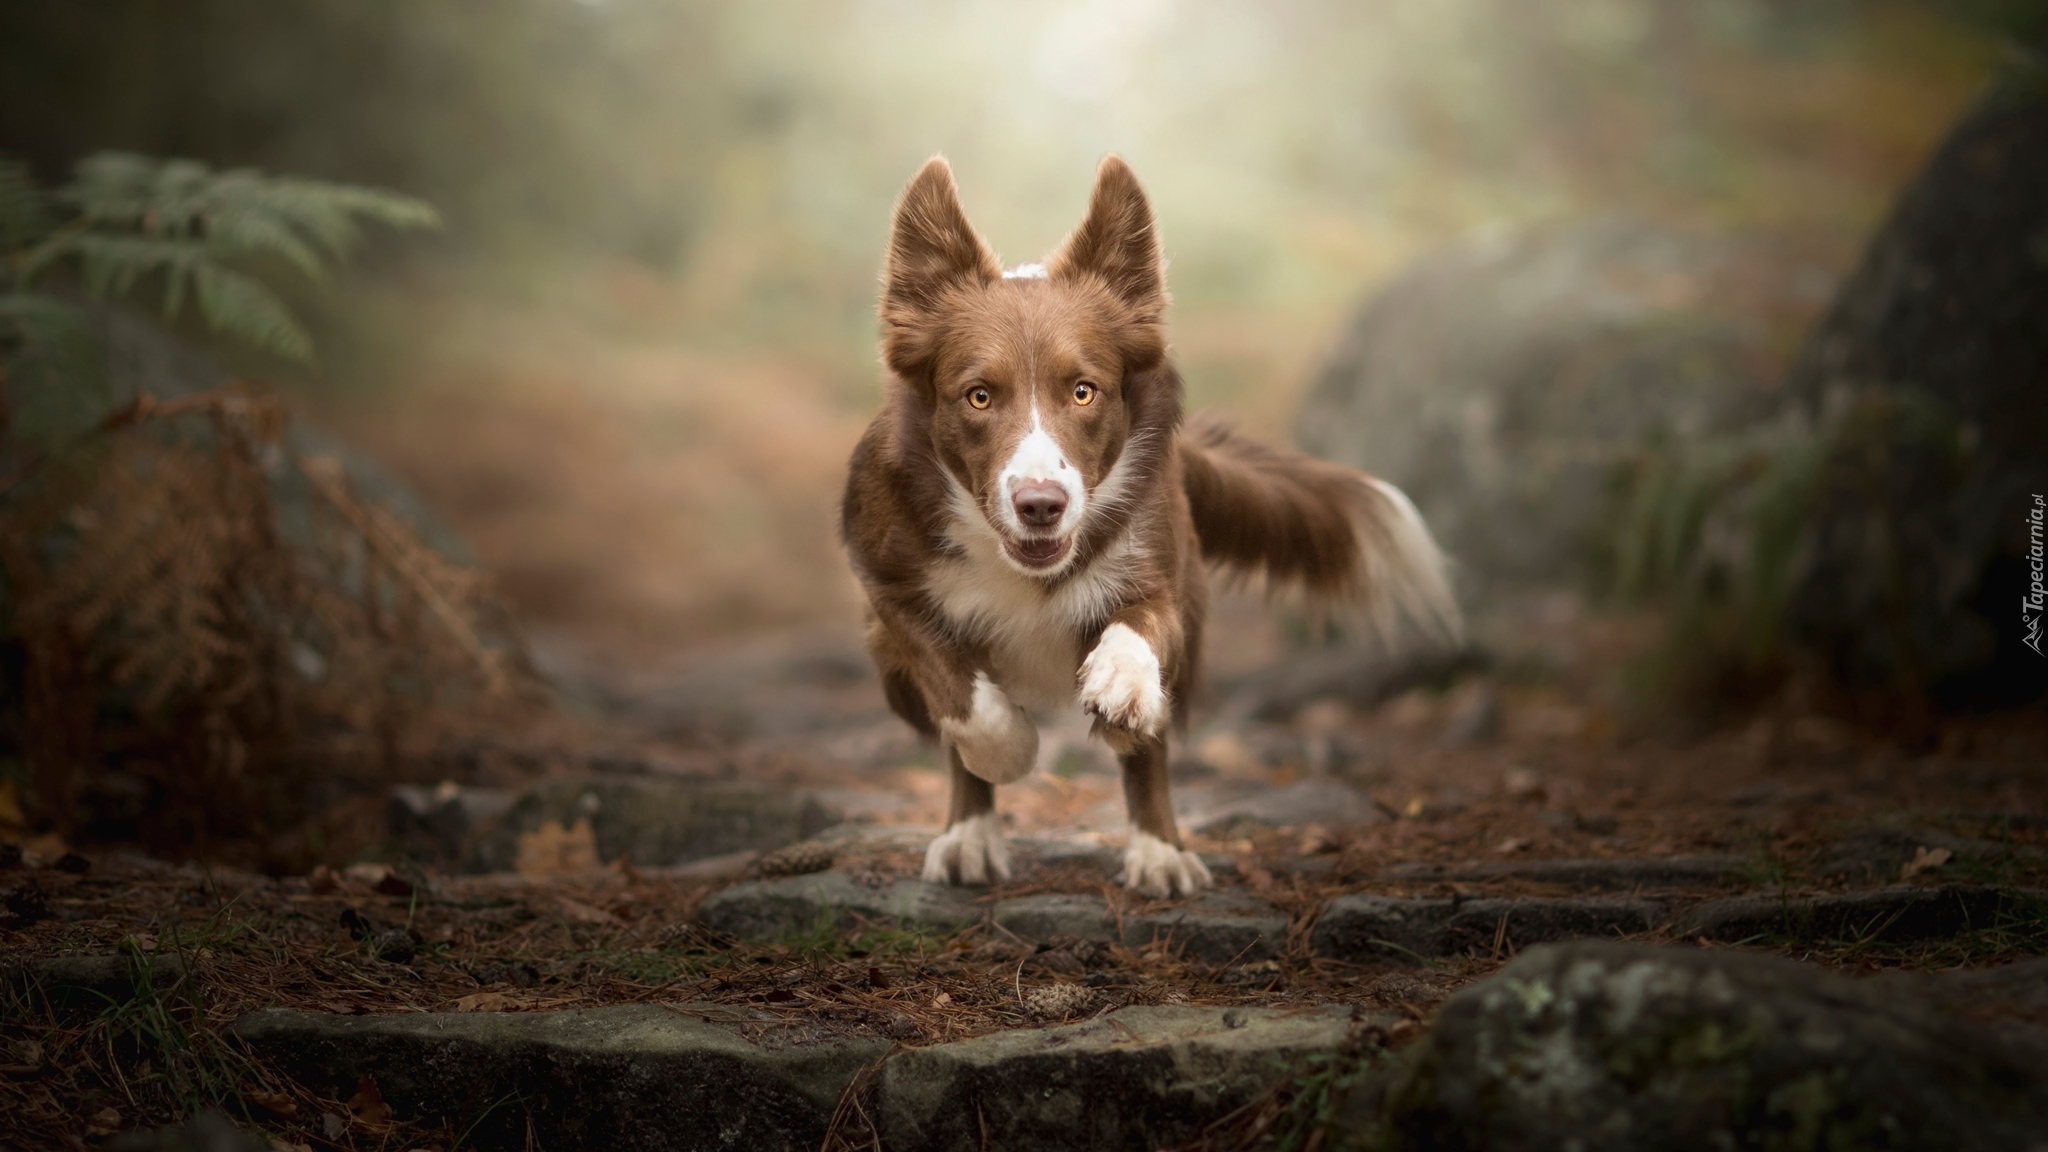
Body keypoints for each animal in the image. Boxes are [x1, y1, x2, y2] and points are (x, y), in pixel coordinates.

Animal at [835, 154, 1458, 897]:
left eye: (1084, 391)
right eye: (978, 396)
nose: (1040, 504)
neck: (1025, 569)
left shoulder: (1162, 572)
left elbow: (1141, 630)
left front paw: (1123, 683)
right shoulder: (885, 583)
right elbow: (958, 689)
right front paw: (1009, 748)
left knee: (1147, 752)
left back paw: (1159, 848)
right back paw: (971, 836)